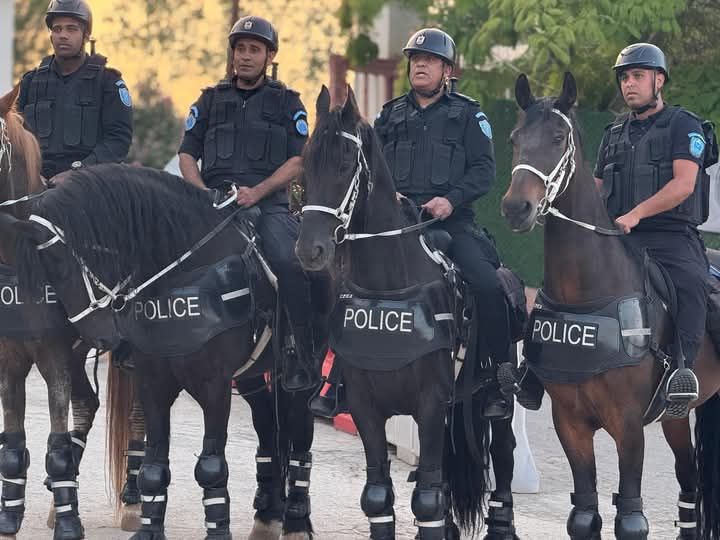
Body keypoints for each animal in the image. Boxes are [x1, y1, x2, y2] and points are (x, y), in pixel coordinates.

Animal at [2, 162, 319, 540]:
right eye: (46, 270)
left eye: (62, 265)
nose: (102, 335)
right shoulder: (150, 378)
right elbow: (153, 465)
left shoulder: (213, 386)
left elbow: (211, 466)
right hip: (250, 375)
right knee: (268, 427)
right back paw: (268, 515)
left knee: (299, 432)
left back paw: (295, 520)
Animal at [296, 85, 519, 540]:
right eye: (306, 164)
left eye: (344, 165)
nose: (311, 250)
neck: (388, 287)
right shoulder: (365, 407)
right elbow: (378, 495)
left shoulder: (430, 404)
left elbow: (427, 500)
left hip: (494, 404)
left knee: (501, 459)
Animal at [501, 71, 720, 539]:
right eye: (514, 138)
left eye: (558, 137)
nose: (515, 207)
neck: (586, 293)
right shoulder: (570, 422)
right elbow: (585, 514)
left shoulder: (629, 425)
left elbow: (631, 517)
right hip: (676, 417)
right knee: (690, 486)